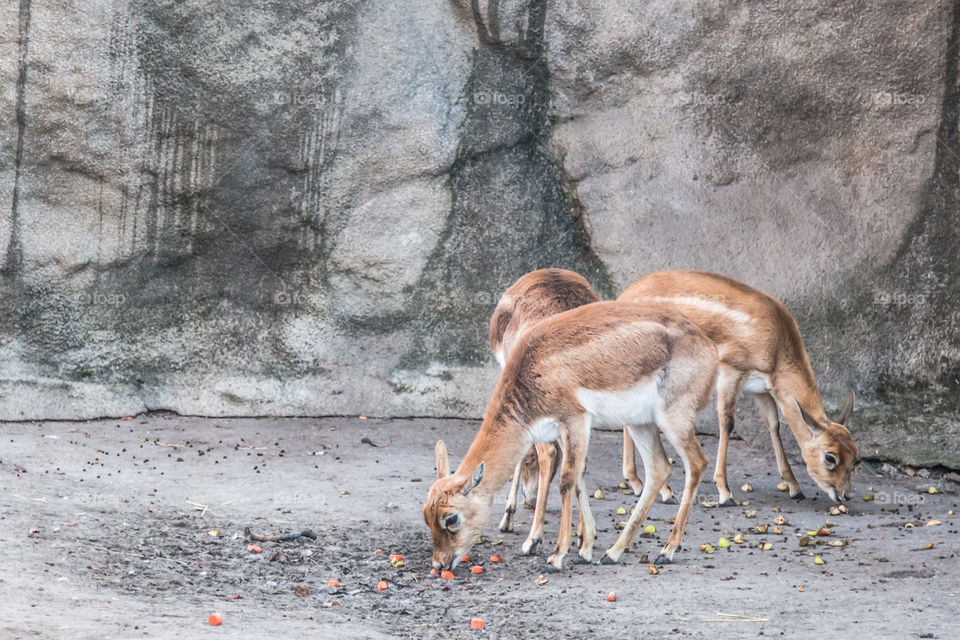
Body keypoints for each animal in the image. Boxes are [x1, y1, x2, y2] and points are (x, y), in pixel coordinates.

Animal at [424, 302, 716, 572]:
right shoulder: (565, 431)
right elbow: (578, 478)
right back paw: (612, 553)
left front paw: (555, 556)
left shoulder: (575, 420)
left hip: (673, 418)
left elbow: (566, 480)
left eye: (451, 518)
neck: (531, 369)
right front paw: (584, 550)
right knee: (659, 468)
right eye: (427, 516)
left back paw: (667, 551)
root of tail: (708, 345)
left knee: (697, 462)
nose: (439, 563)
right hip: (639, 423)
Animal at [620, 270, 860, 504]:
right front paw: (725, 493)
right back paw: (663, 491)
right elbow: (727, 421)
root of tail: (623, 296)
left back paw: (636, 483)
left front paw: (795, 487)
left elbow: (773, 423)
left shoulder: (760, 387)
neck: (776, 350)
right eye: (830, 456)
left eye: (855, 457)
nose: (845, 495)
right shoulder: (732, 368)